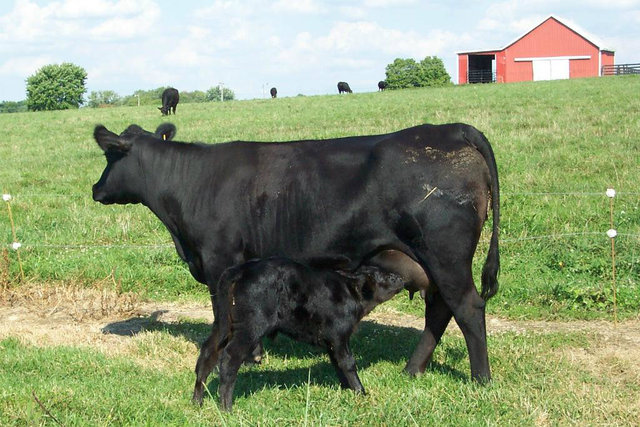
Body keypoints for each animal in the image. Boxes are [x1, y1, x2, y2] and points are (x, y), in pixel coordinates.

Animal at [91, 120, 500, 398]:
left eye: (110, 156)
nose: (95, 189)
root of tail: (451, 130)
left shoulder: (220, 261)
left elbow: (225, 316)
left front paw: (250, 355)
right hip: (426, 262)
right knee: (440, 310)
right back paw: (412, 370)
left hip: (445, 256)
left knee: (467, 307)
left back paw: (481, 379)